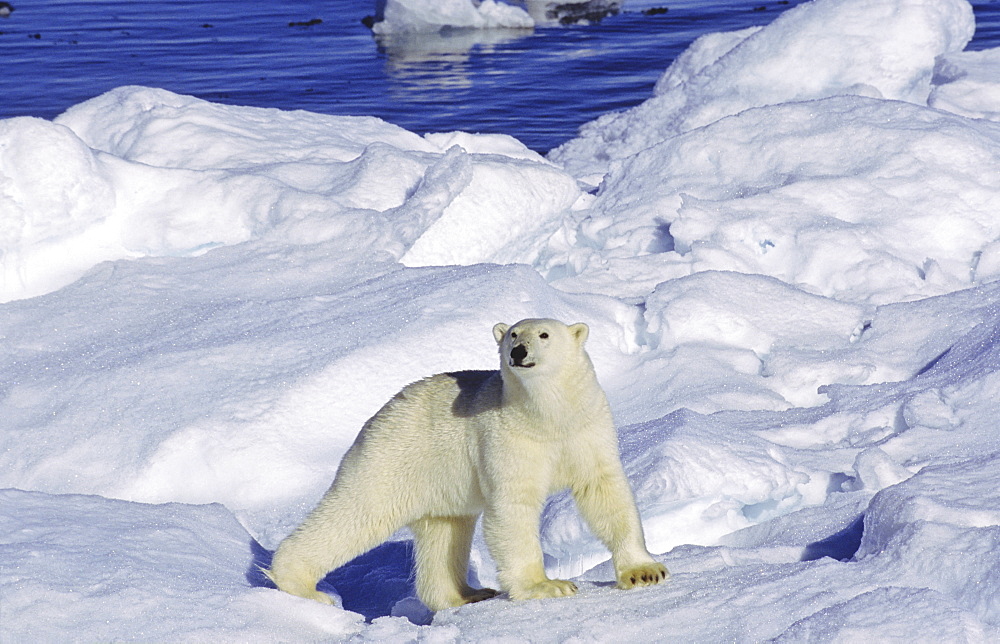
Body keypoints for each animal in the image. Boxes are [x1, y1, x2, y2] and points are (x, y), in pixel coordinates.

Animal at [270, 320, 668, 612]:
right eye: (512, 334)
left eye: (544, 334)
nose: (518, 352)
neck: (547, 418)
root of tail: (373, 421)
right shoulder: (507, 439)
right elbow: (512, 508)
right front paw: (547, 586)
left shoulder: (586, 430)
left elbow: (606, 492)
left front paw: (645, 573)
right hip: (392, 462)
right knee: (355, 515)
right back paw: (302, 586)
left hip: (438, 485)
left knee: (445, 534)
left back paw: (466, 594)